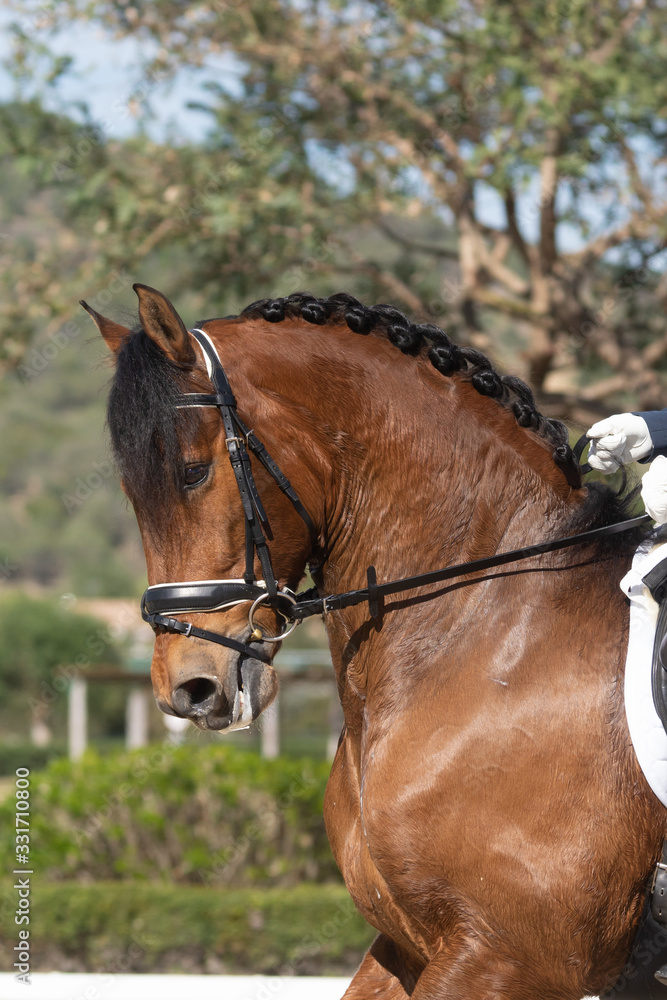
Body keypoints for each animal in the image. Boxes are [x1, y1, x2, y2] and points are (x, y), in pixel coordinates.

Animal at [83, 282, 667, 999]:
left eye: (192, 472)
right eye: (131, 490)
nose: (188, 689)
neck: (490, 631)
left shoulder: (507, 955)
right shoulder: (409, 944)